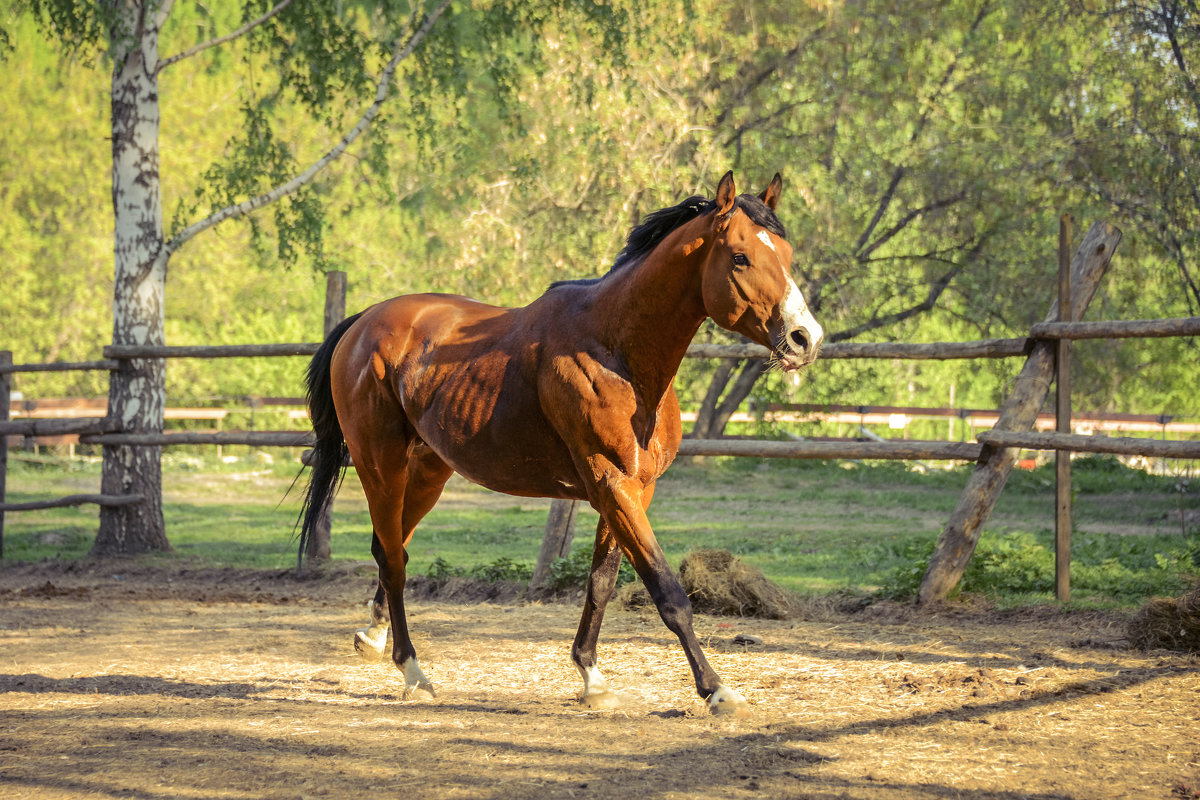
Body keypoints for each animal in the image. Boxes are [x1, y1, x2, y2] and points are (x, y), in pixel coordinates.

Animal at [300, 172, 825, 714]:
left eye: (786, 253)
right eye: (740, 256)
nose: (805, 338)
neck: (614, 350)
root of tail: (363, 323)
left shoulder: (634, 490)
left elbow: (601, 583)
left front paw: (592, 678)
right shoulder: (611, 485)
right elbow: (669, 594)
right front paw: (716, 689)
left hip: (427, 472)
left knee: (390, 549)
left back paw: (373, 636)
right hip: (381, 468)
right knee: (395, 561)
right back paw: (412, 670)